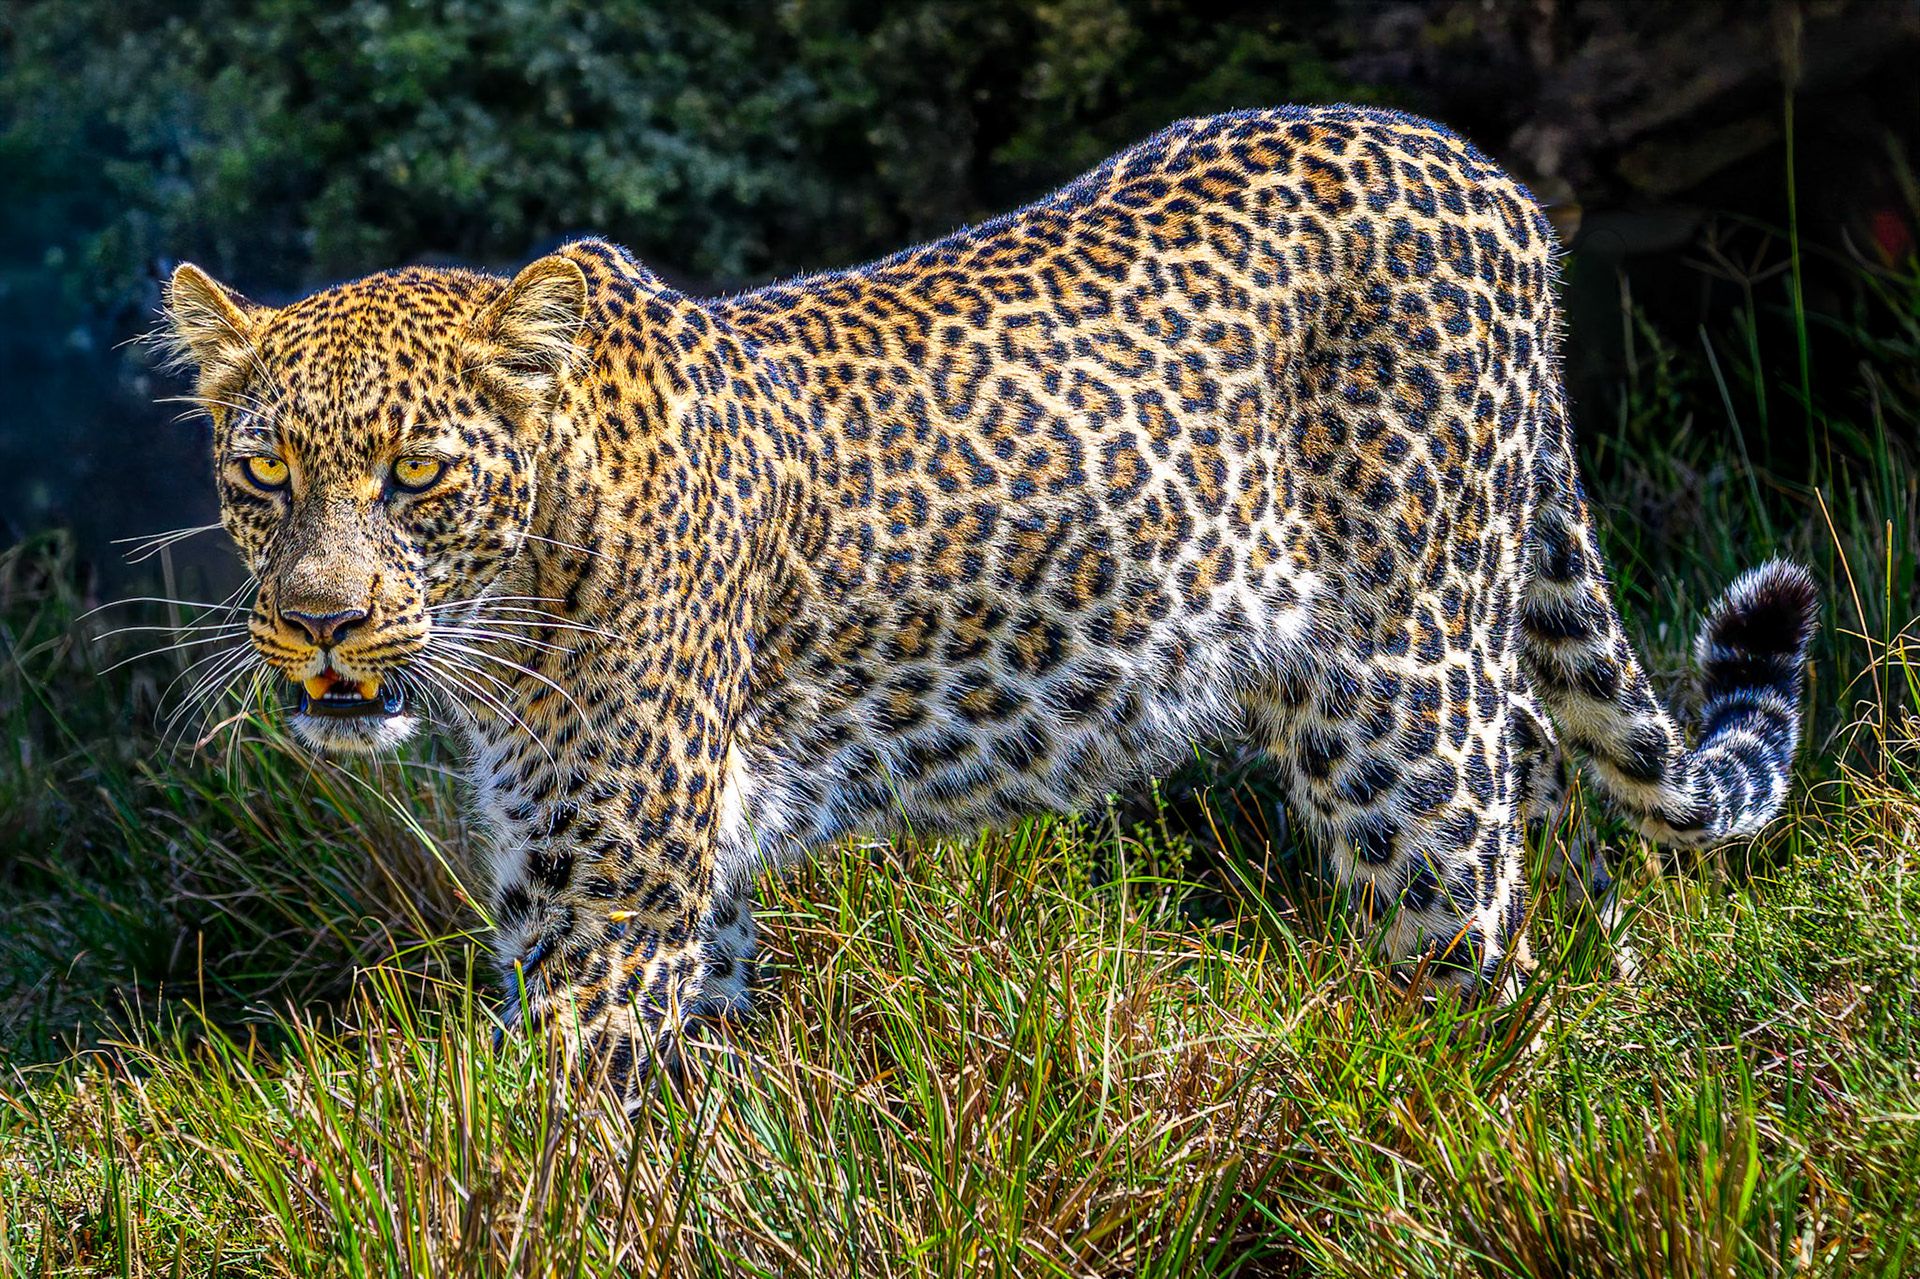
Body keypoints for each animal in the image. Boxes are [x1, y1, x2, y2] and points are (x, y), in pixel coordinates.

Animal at [161, 104, 1818, 1091]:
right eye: (264, 472)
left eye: (419, 476)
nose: (318, 617)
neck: (512, 617)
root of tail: (1491, 180)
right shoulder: (663, 894)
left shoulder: (607, 898)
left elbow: (554, 1137)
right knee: (1545, 773)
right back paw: (1610, 992)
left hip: (1402, 702)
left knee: (1469, 930)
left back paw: (1497, 1106)